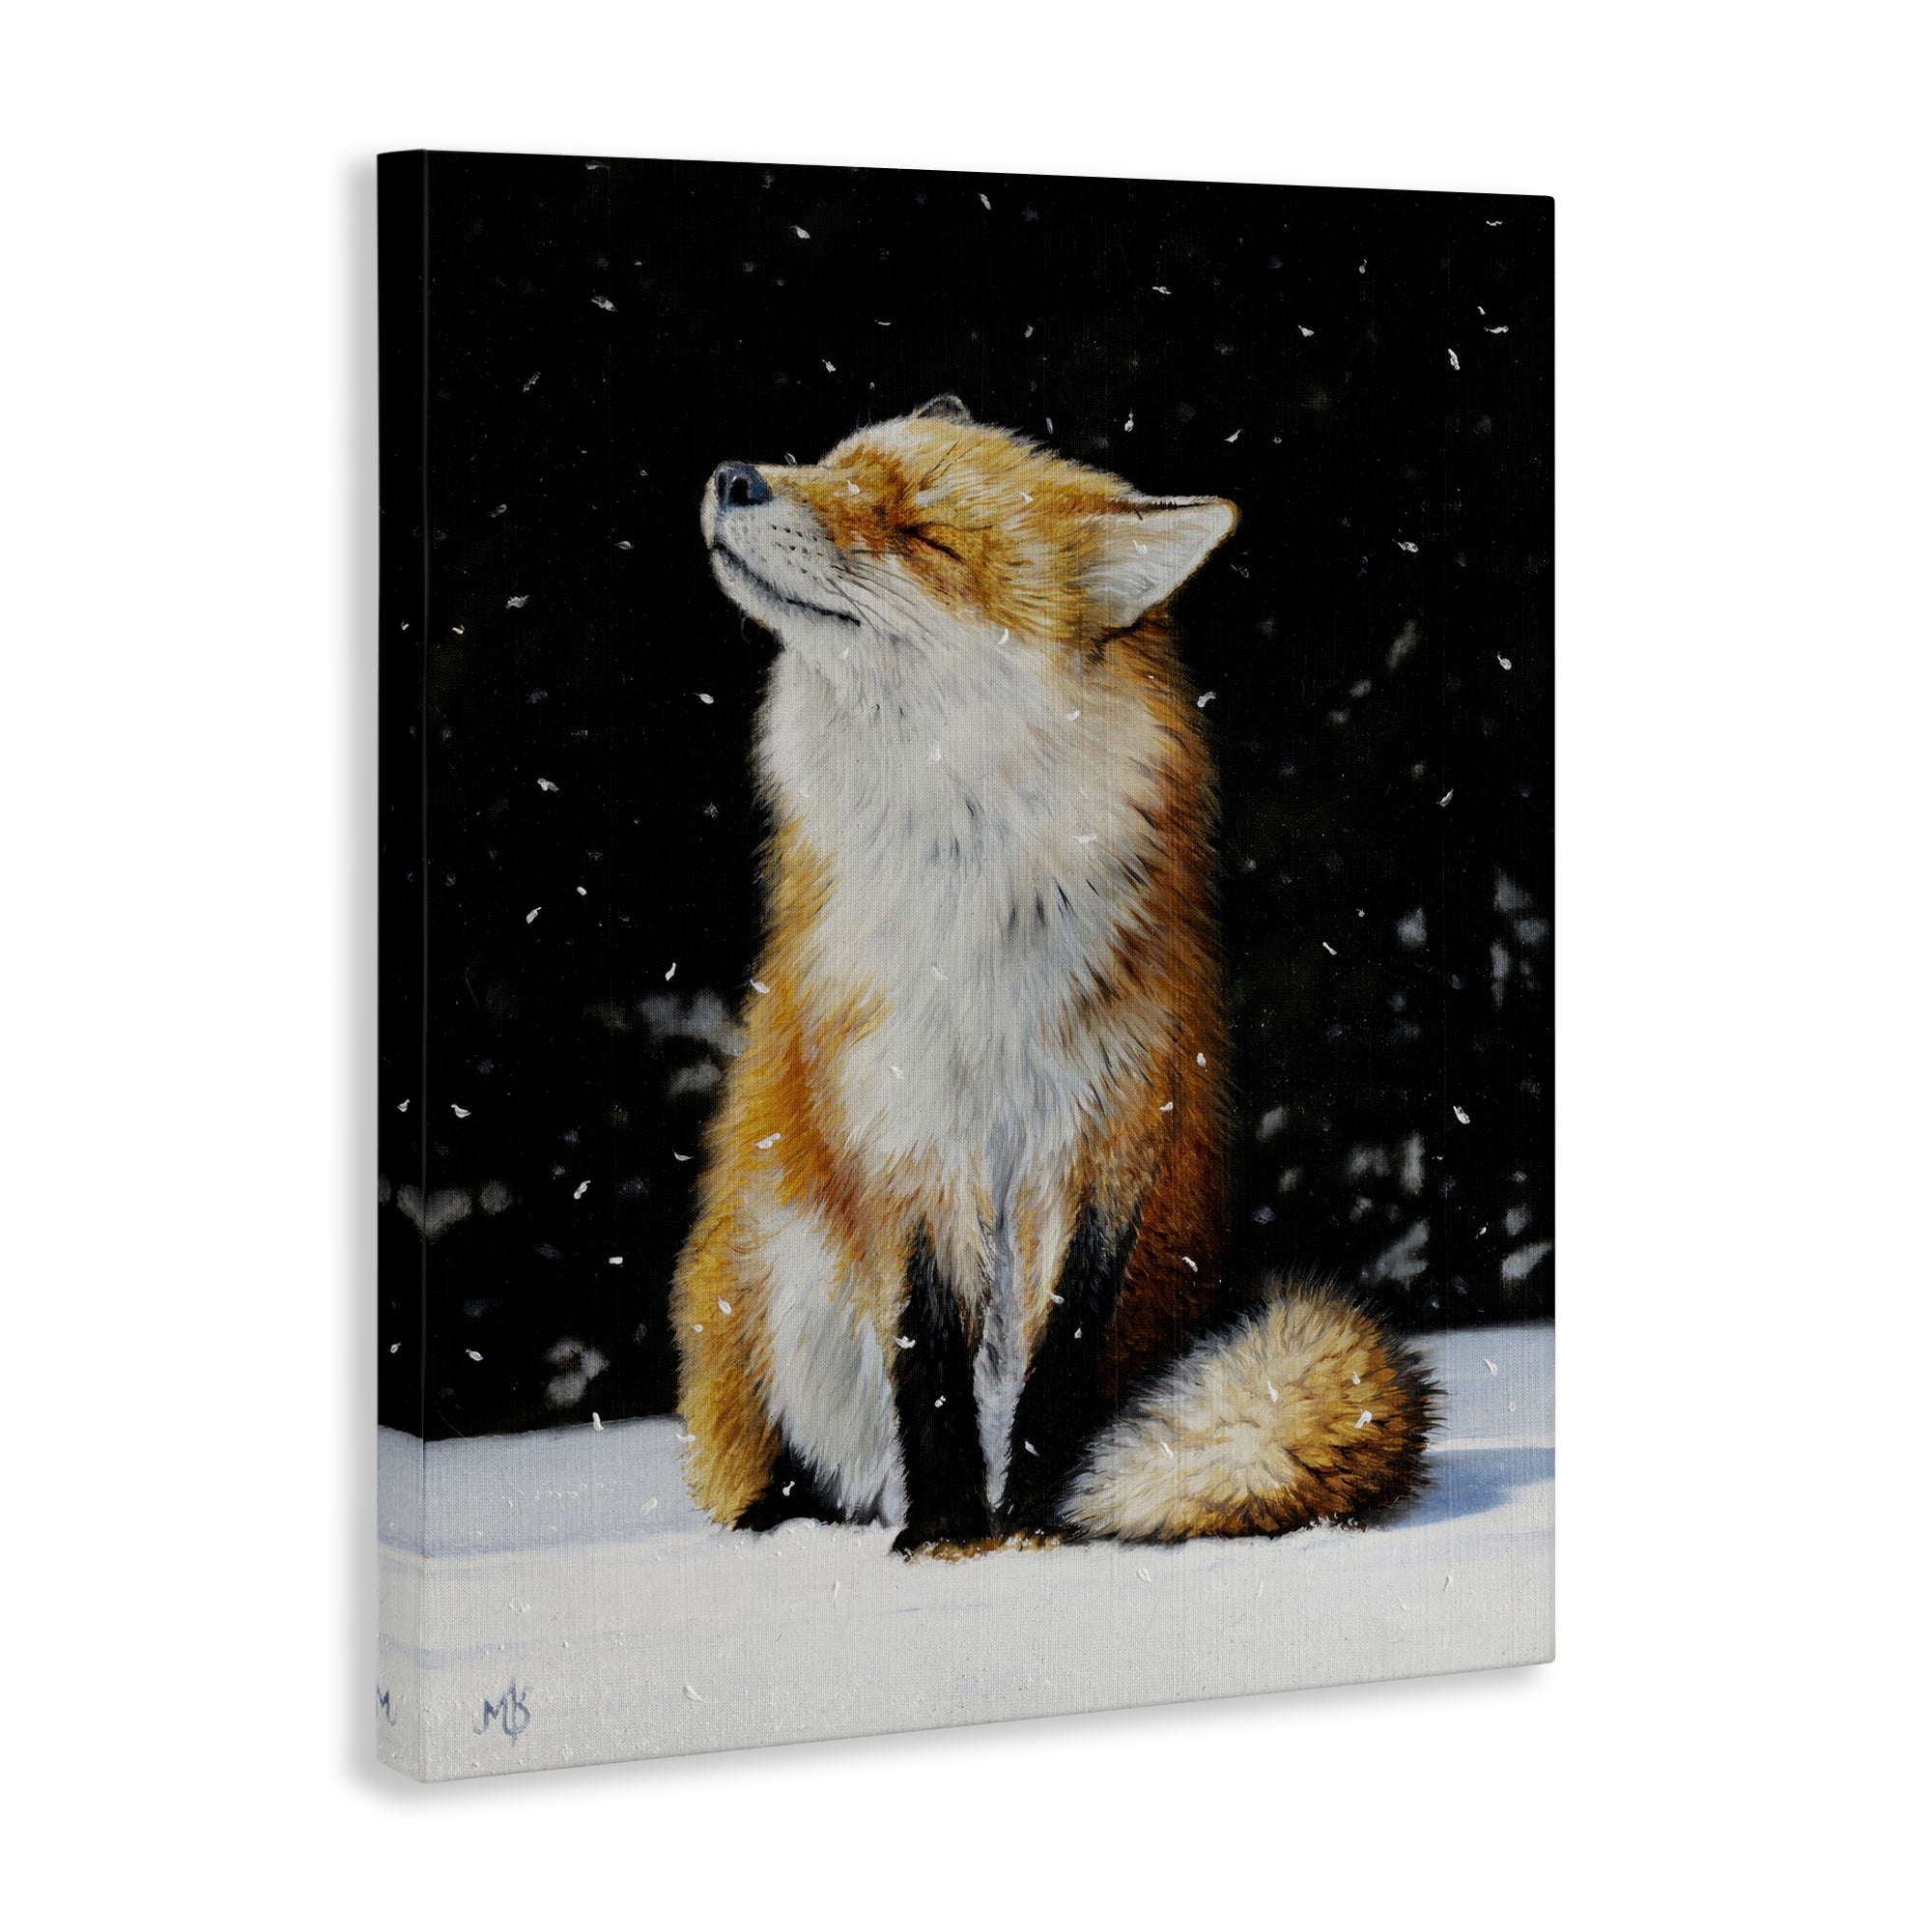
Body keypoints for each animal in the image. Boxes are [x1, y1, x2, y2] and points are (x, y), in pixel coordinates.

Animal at [674, 394, 1435, 1555]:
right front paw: (947, 1538)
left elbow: (1062, 1361)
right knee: (807, 1468)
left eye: (922, 535)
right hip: (770, 1283)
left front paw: (1034, 1525)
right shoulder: (906, 1142)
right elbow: (929, 1364)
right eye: (837, 463)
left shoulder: (1108, 1136)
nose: (734, 477)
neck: (974, 928)